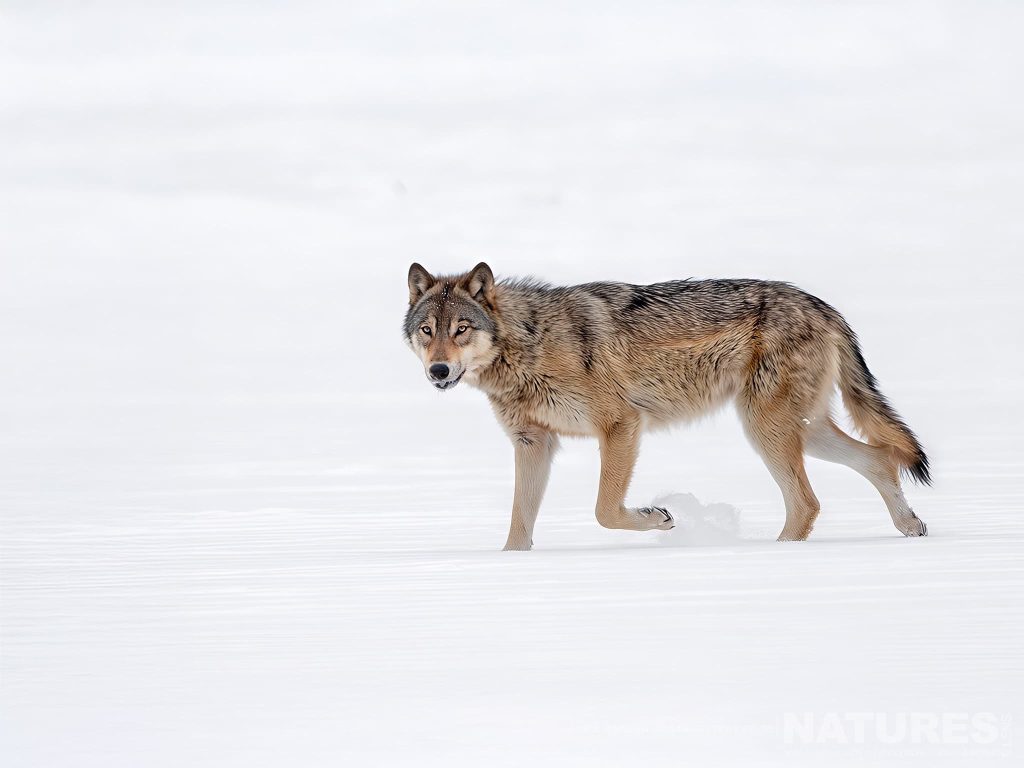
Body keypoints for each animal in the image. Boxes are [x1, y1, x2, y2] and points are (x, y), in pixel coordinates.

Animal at [403, 262, 930, 551]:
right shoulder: (533, 443)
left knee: (808, 502)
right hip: (803, 430)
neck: (529, 345)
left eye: (461, 330)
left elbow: (604, 510)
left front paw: (659, 518)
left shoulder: (621, 425)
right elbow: (519, 527)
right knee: (880, 460)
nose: (439, 371)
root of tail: (823, 305)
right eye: (427, 330)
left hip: (766, 429)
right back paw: (911, 527)